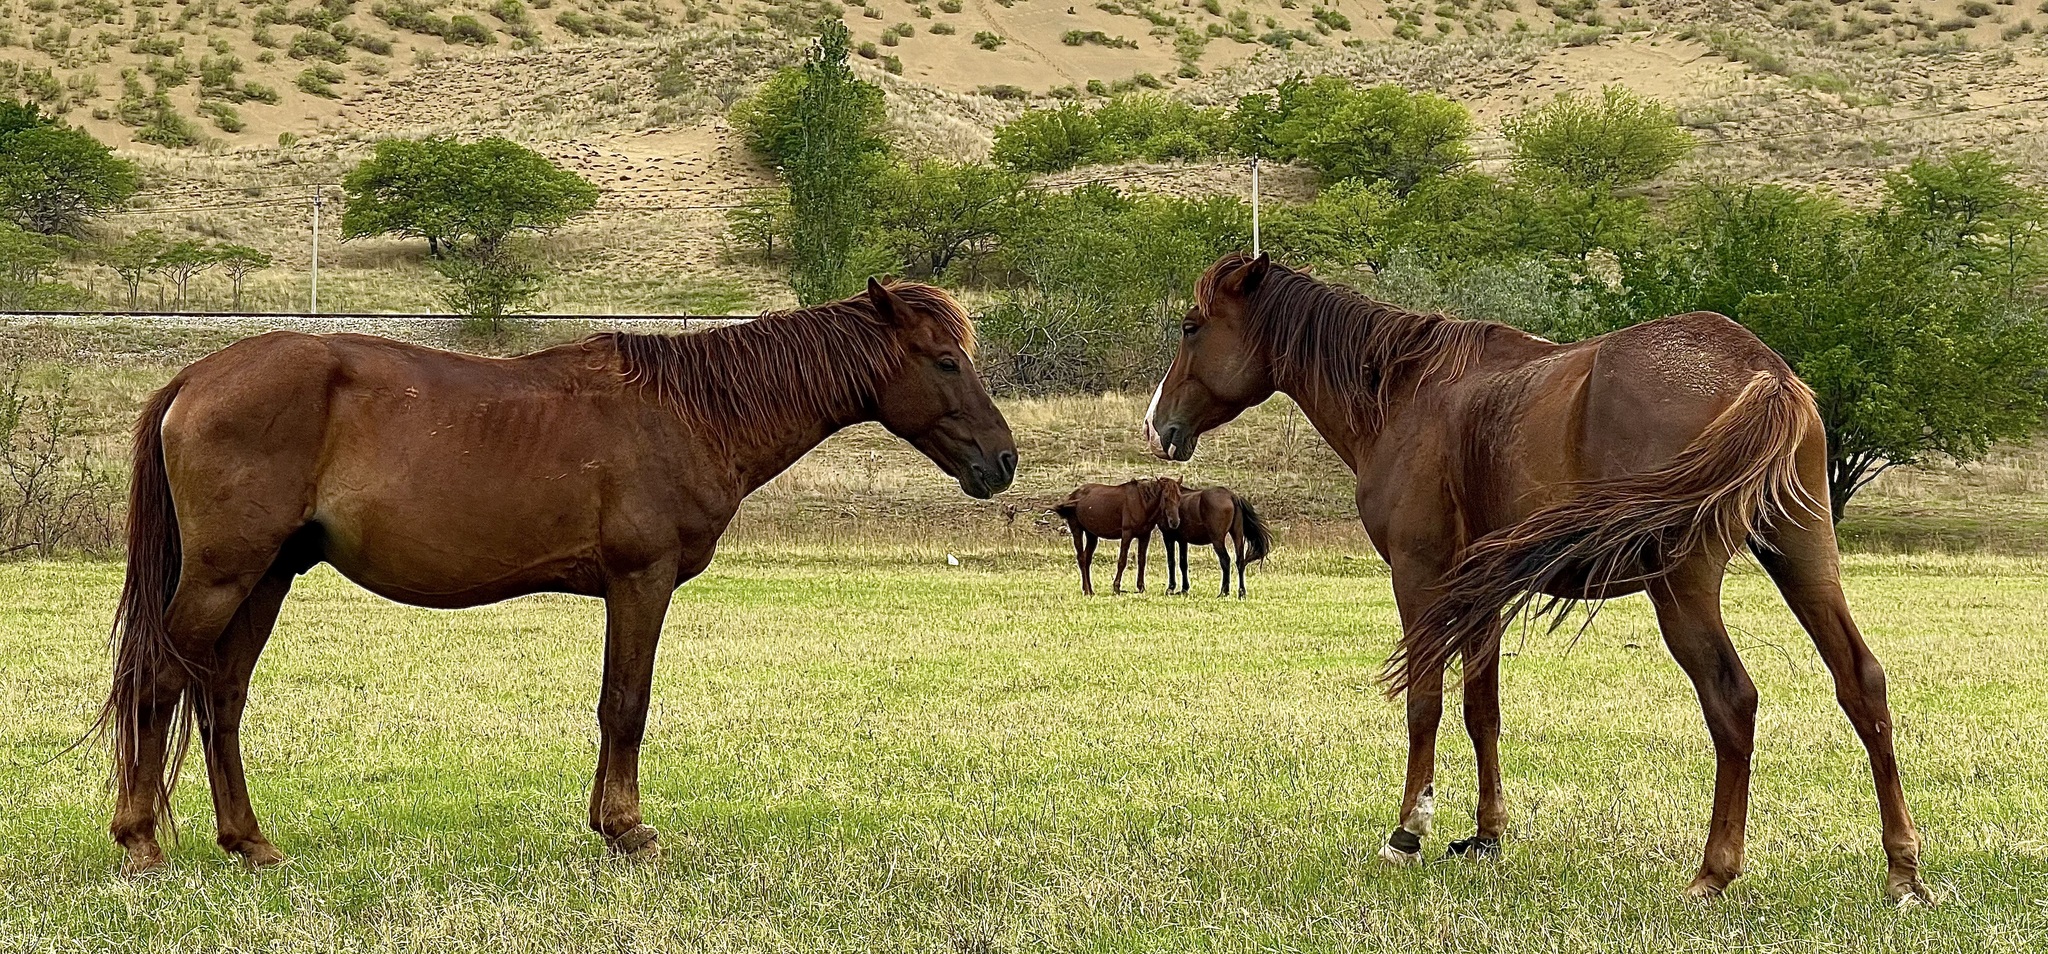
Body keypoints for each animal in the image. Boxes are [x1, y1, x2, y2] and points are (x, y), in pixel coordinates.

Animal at [97, 280, 1024, 876]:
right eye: (946, 361)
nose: (1004, 460)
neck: (688, 413)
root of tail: (196, 377)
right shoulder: (641, 580)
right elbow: (627, 704)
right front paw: (625, 830)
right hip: (224, 576)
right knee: (158, 681)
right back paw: (140, 843)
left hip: (265, 579)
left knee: (220, 697)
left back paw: (249, 842)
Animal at [1056, 481, 1187, 593]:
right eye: (1165, 498)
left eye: (1179, 497)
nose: (1174, 522)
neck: (1141, 503)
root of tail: (1072, 496)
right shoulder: (1127, 534)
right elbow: (1122, 561)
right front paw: (1116, 587)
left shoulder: (1145, 536)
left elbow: (1142, 561)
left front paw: (1141, 587)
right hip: (1077, 530)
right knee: (1081, 558)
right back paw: (1087, 590)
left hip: (1091, 535)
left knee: (1087, 559)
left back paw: (1090, 590)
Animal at [1146, 251, 1925, 900]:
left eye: (1191, 327)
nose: (1159, 427)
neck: (1407, 392)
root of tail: (1761, 370)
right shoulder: (1480, 593)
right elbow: (1481, 710)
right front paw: (1487, 834)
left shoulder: (1421, 578)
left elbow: (1425, 703)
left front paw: (1409, 830)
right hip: (1804, 560)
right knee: (1861, 683)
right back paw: (1902, 872)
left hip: (1684, 589)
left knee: (1732, 701)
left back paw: (1714, 872)